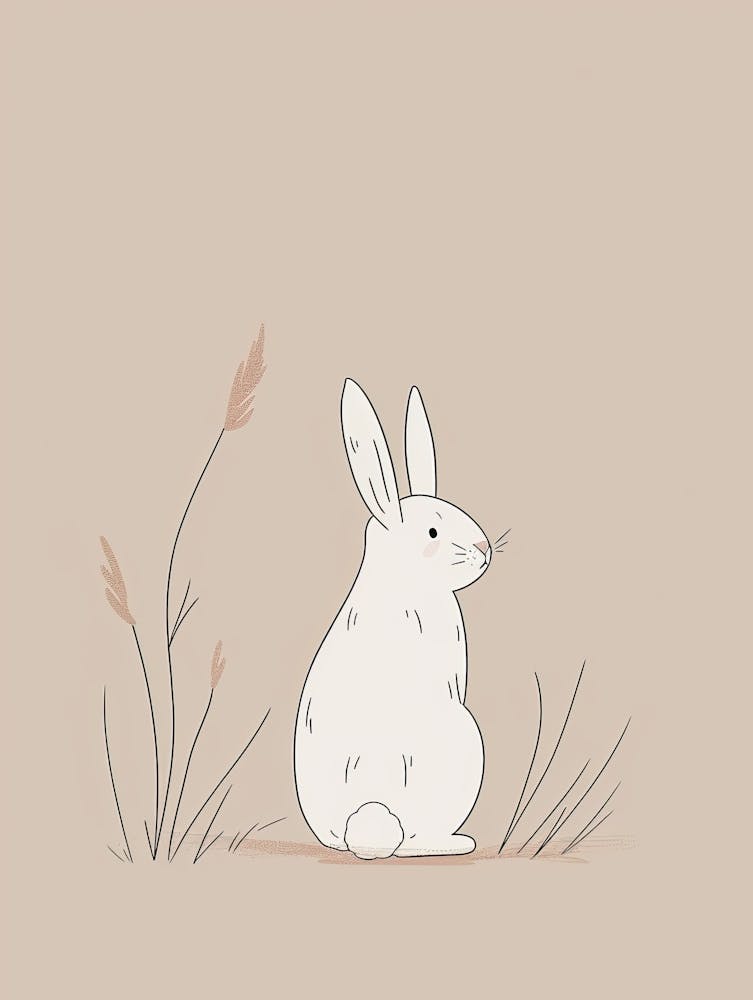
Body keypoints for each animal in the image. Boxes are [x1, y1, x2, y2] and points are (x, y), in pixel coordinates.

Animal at [293, 379, 494, 860]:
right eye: (433, 532)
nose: (484, 549)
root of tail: (369, 819)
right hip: (466, 739)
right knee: (414, 843)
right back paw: (458, 842)